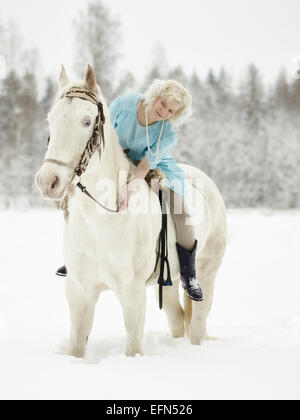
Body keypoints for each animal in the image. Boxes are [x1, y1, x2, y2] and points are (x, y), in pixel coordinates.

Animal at [36, 65, 226, 358]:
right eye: (51, 119)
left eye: (87, 121)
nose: (48, 182)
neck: (100, 220)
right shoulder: (79, 291)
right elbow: (77, 345)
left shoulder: (132, 292)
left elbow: (134, 345)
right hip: (167, 285)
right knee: (177, 320)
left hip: (207, 272)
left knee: (197, 323)